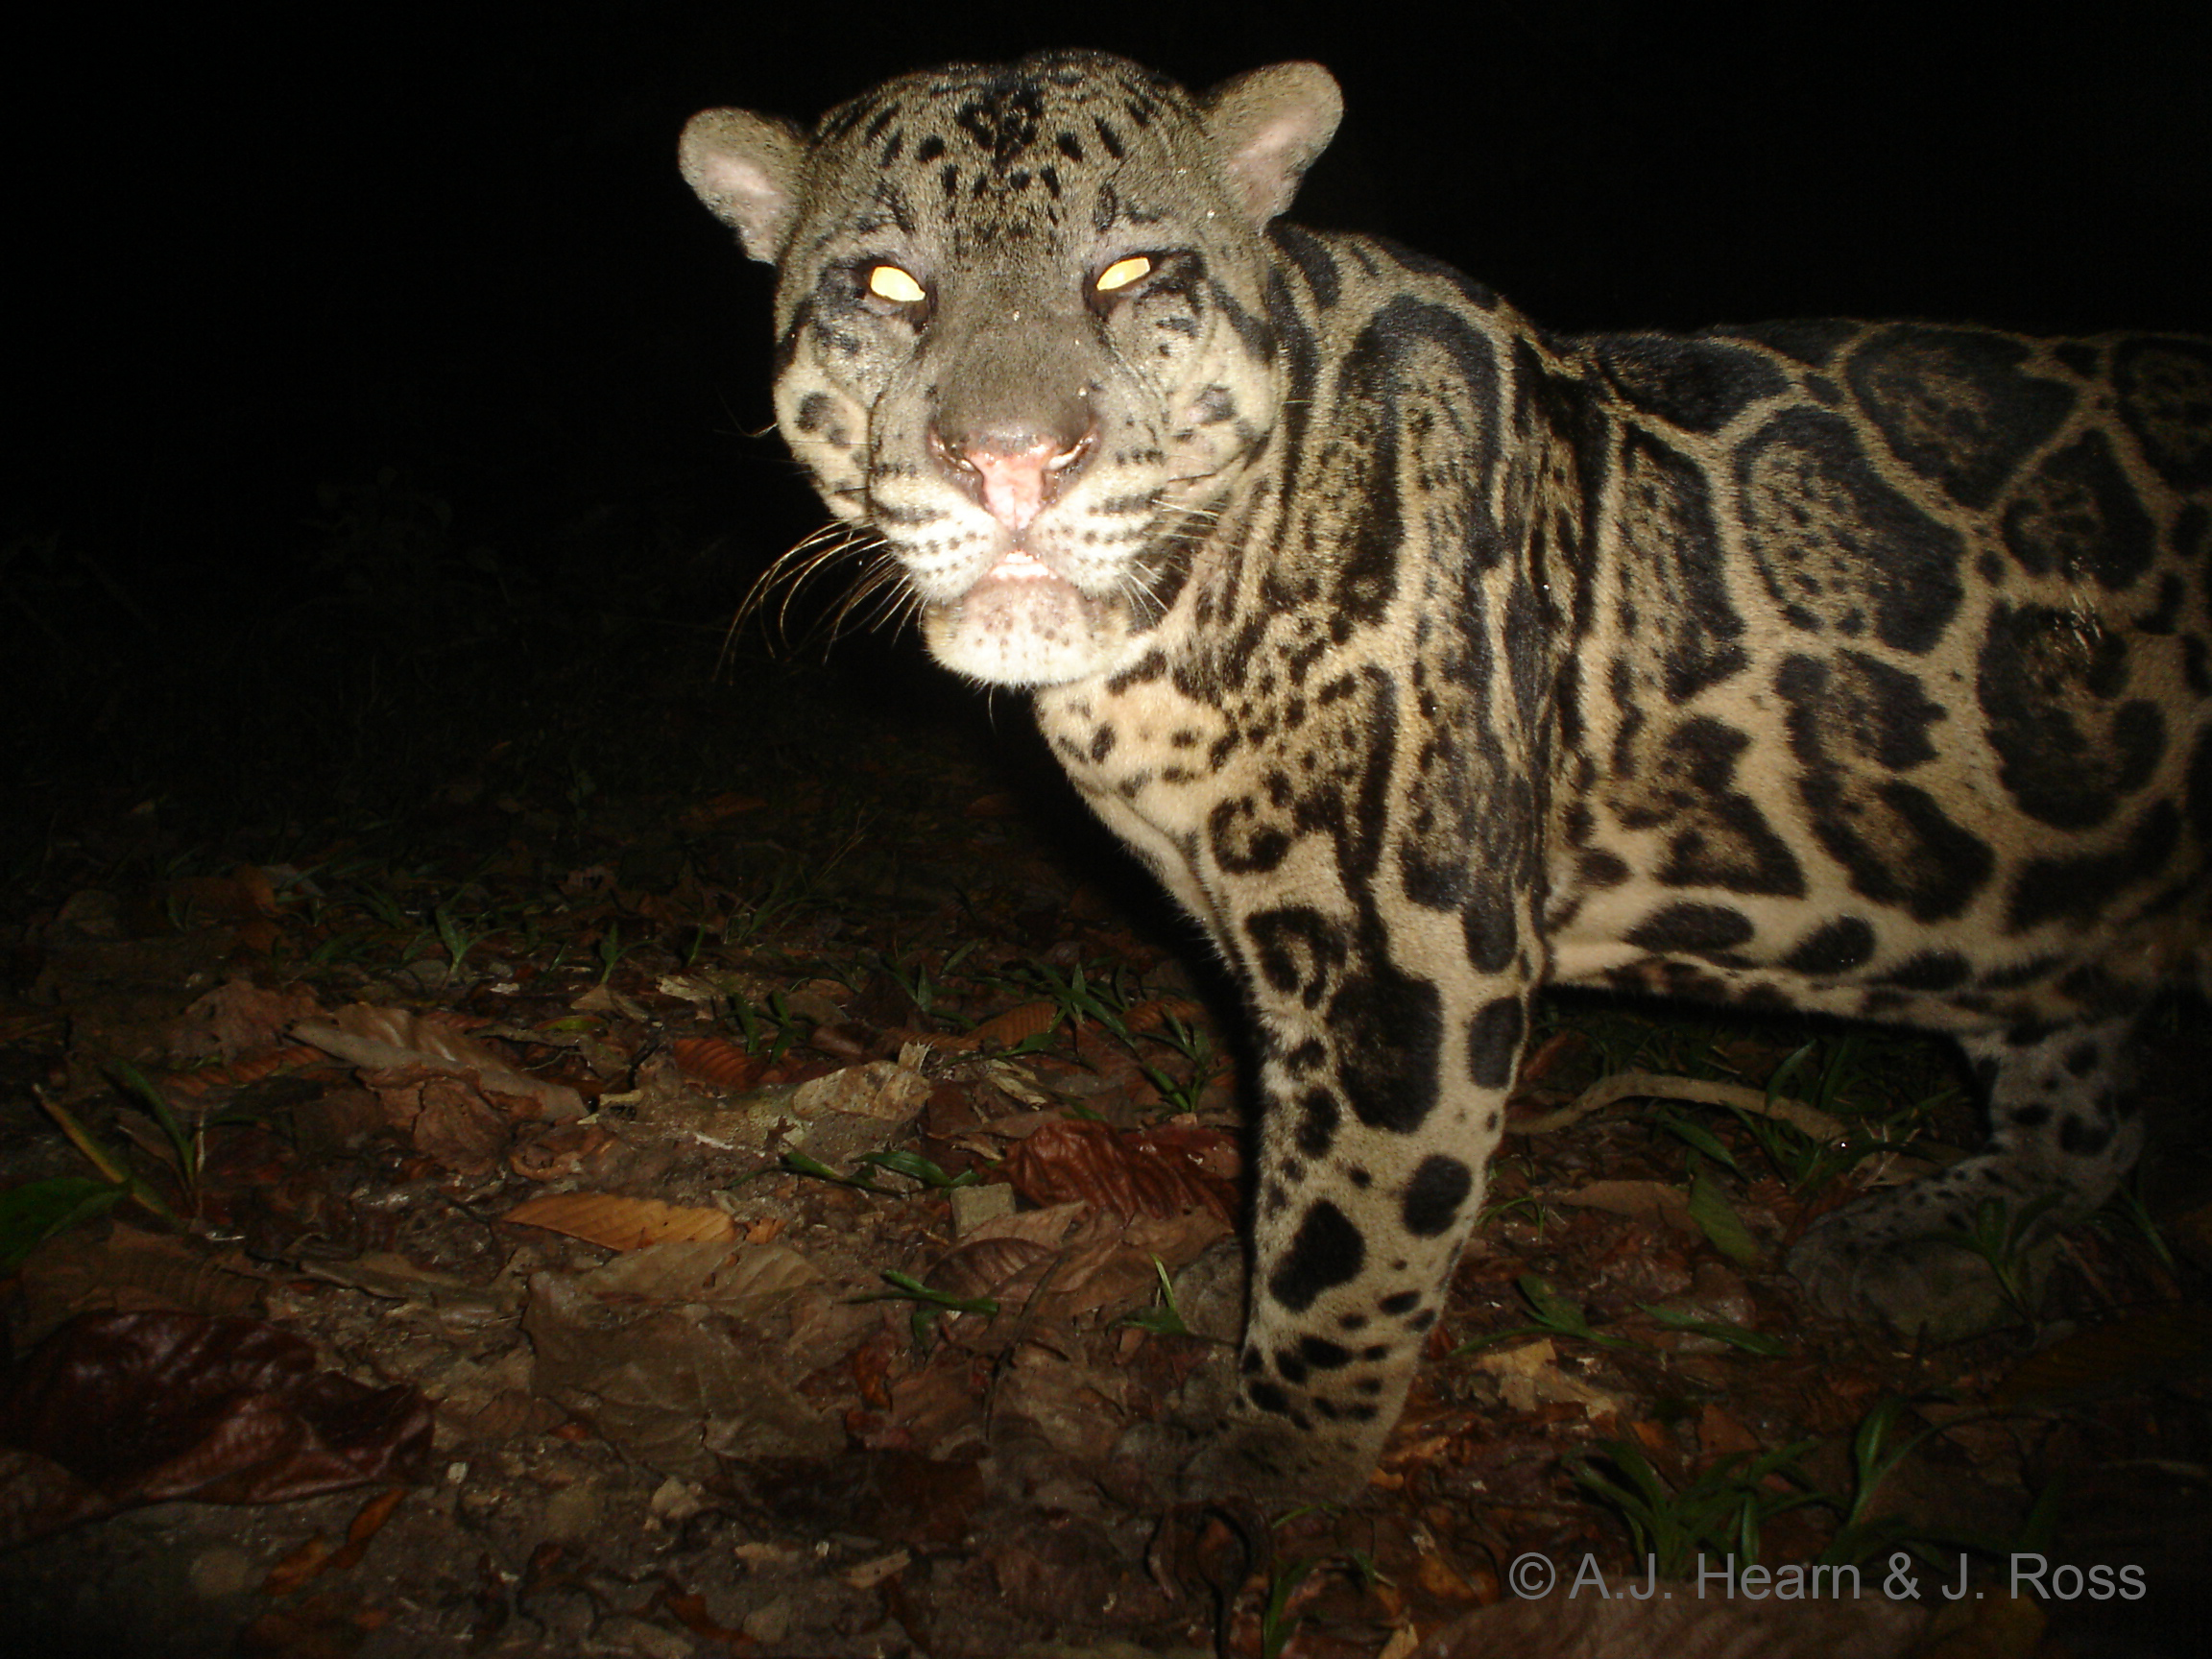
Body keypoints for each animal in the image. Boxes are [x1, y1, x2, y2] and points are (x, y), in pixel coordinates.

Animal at [681, 49, 2212, 1499]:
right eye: (888, 285)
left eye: (1129, 274)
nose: (1012, 464)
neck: (1163, 649)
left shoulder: (1406, 953)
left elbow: (1348, 1237)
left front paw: (1274, 1463)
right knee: (2090, 1111)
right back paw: (1923, 1243)